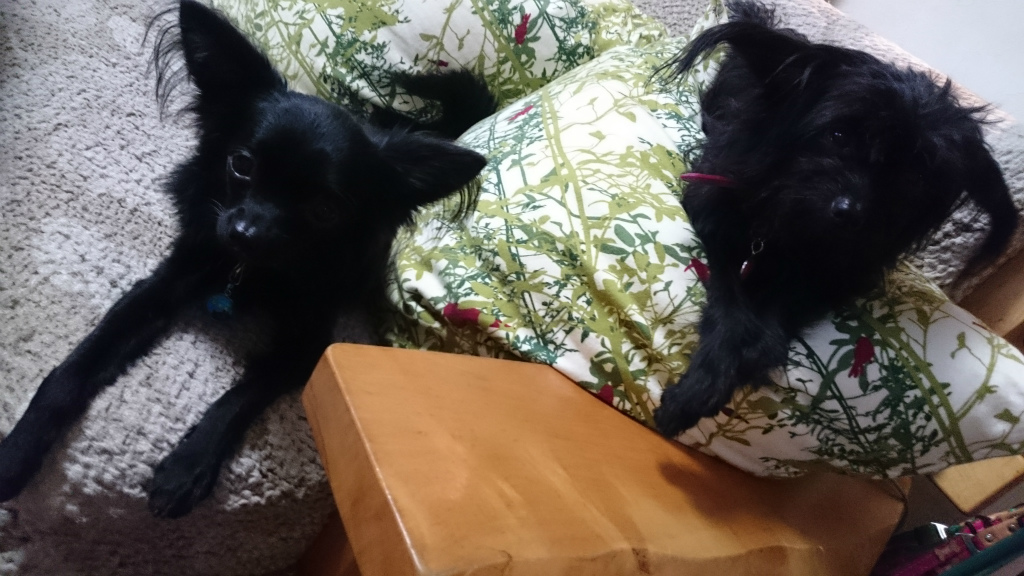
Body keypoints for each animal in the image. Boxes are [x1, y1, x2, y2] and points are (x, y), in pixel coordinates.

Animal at [0, 0, 492, 518]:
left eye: (324, 210)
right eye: (241, 165)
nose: (243, 233)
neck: (254, 273)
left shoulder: (310, 349)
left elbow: (243, 394)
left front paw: (188, 465)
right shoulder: (163, 284)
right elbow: (75, 367)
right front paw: (18, 450)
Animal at [653, 1, 1018, 437]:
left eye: (914, 176)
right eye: (838, 135)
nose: (849, 214)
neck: (791, 229)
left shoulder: (834, 274)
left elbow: (775, 320)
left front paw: (754, 347)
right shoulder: (713, 215)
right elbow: (730, 304)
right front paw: (698, 389)